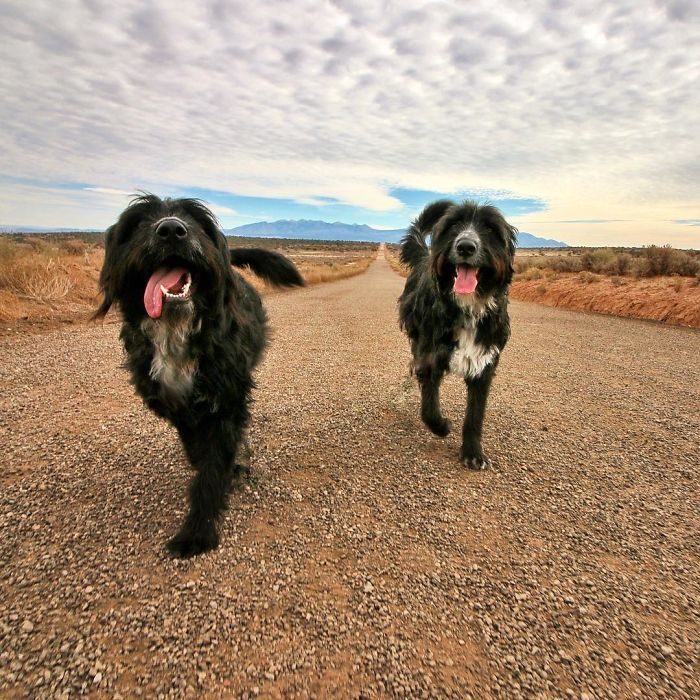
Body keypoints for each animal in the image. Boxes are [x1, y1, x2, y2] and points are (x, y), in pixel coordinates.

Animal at [93, 194, 304, 556]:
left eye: (195, 219)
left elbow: (213, 464)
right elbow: (197, 448)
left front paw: (196, 531)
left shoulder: (226, 401)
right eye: (137, 221)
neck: (177, 331)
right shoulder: (175, 404)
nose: (171, 230)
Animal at [396, 200, 516, 468]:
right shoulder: (430, 356)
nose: (465, 246)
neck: (466, 307)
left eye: (490, 228)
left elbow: (475, 415)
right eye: (453, 225)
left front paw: (473, 452)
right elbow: (429, 409)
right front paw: (442, 427)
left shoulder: (484, 363)